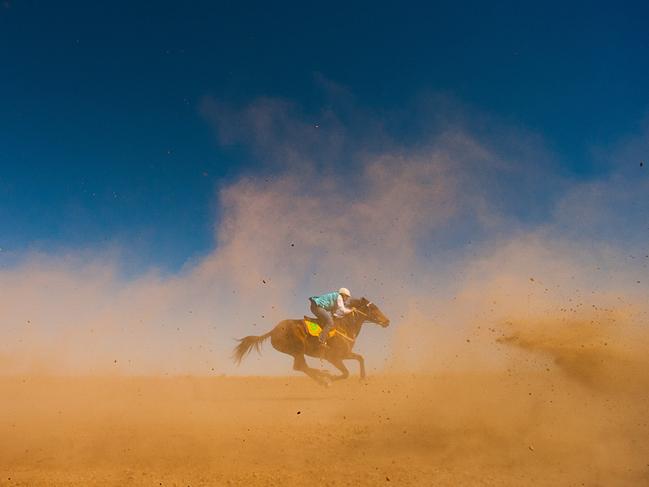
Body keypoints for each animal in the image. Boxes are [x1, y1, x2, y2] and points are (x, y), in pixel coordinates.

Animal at [233, 300, 390, 386]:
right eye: (374, 308)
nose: (387, 321)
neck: (344, 326)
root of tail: (273, 331)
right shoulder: (333, 357)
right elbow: (346, 373)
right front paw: (331, 379)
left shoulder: (344, 354)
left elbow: (360, 358)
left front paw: (362, 378)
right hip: (297, 349)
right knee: (300, 366)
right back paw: (324, 377)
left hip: (296, 352)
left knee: (300, 367)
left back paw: (322, 377)